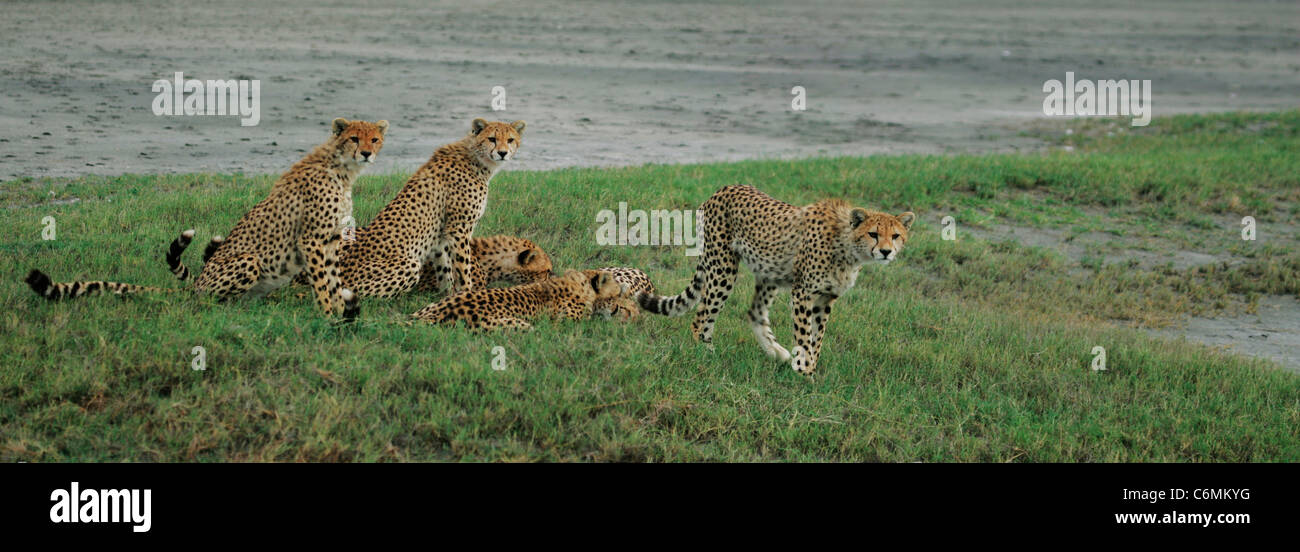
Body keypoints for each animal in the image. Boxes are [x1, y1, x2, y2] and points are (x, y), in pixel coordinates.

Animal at [26, 116, 384, 318]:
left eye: (375, 138)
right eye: (354, 137)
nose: (367, 152)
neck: (343, 168)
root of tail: (196, 285)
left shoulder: (332, 240)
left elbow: (334, 280)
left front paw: (340, 309)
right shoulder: (312, 240)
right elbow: (323, 282)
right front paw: (329, 314)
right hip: (247, 261)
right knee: (211, 302)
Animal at [335, 116, 527, 297]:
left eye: (510, 140)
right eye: (492, 139)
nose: (502, 152)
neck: (478, 159)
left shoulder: (442, 235)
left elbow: (445, 268)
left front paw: (447, 295)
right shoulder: (459, 229)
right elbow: (463, 268)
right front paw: (466, 293)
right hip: (410, 264)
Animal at [639, 184, 915, 374]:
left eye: (896, 235)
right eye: (873, 234)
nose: (886, 251)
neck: (848, 248)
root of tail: (722, 190)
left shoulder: (826, 299)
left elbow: (817, 338)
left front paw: (808, 367)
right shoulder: (803, 293)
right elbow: (804, 335)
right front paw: (804, 373)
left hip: (769, 272)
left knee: (754, 312)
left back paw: (777, 353)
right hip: (723, 267)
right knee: (702, 315)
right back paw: (706, 353)